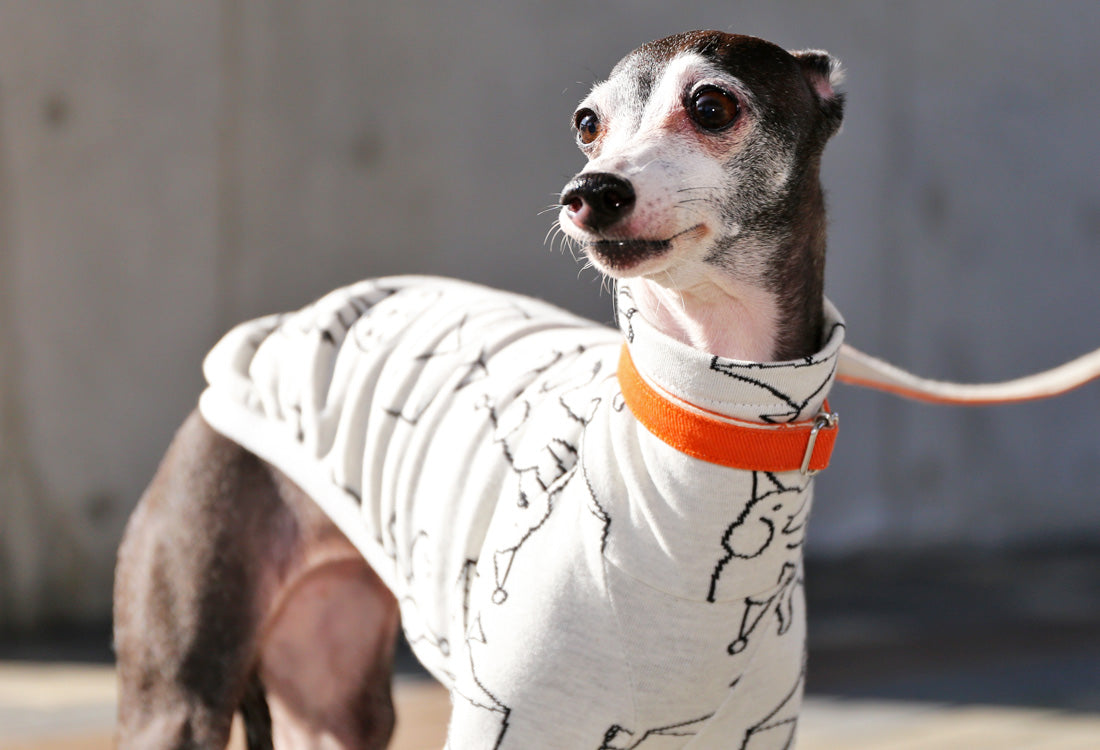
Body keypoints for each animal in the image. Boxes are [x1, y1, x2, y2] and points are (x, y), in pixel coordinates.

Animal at [113, 30, 840, 747]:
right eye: (587, 123)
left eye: (713, 106)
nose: (591, 192)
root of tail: (281, 326)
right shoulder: (510, 719)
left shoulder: (755, 728)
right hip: (179, 700)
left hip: (333, 694)